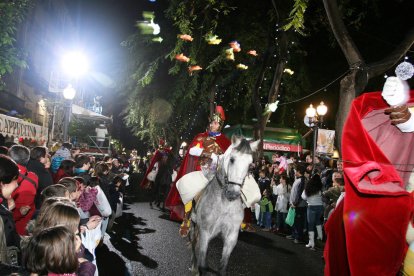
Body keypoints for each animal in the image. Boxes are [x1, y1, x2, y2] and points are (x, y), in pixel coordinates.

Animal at [190, 137, 258, 274]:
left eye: (250, 164)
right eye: (232, 159)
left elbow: (222, 267)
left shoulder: (231, 236)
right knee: (194, 245)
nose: (233, 193)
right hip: (194, 226)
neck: (225, 205)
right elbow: (202, 265)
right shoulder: (205, 231)